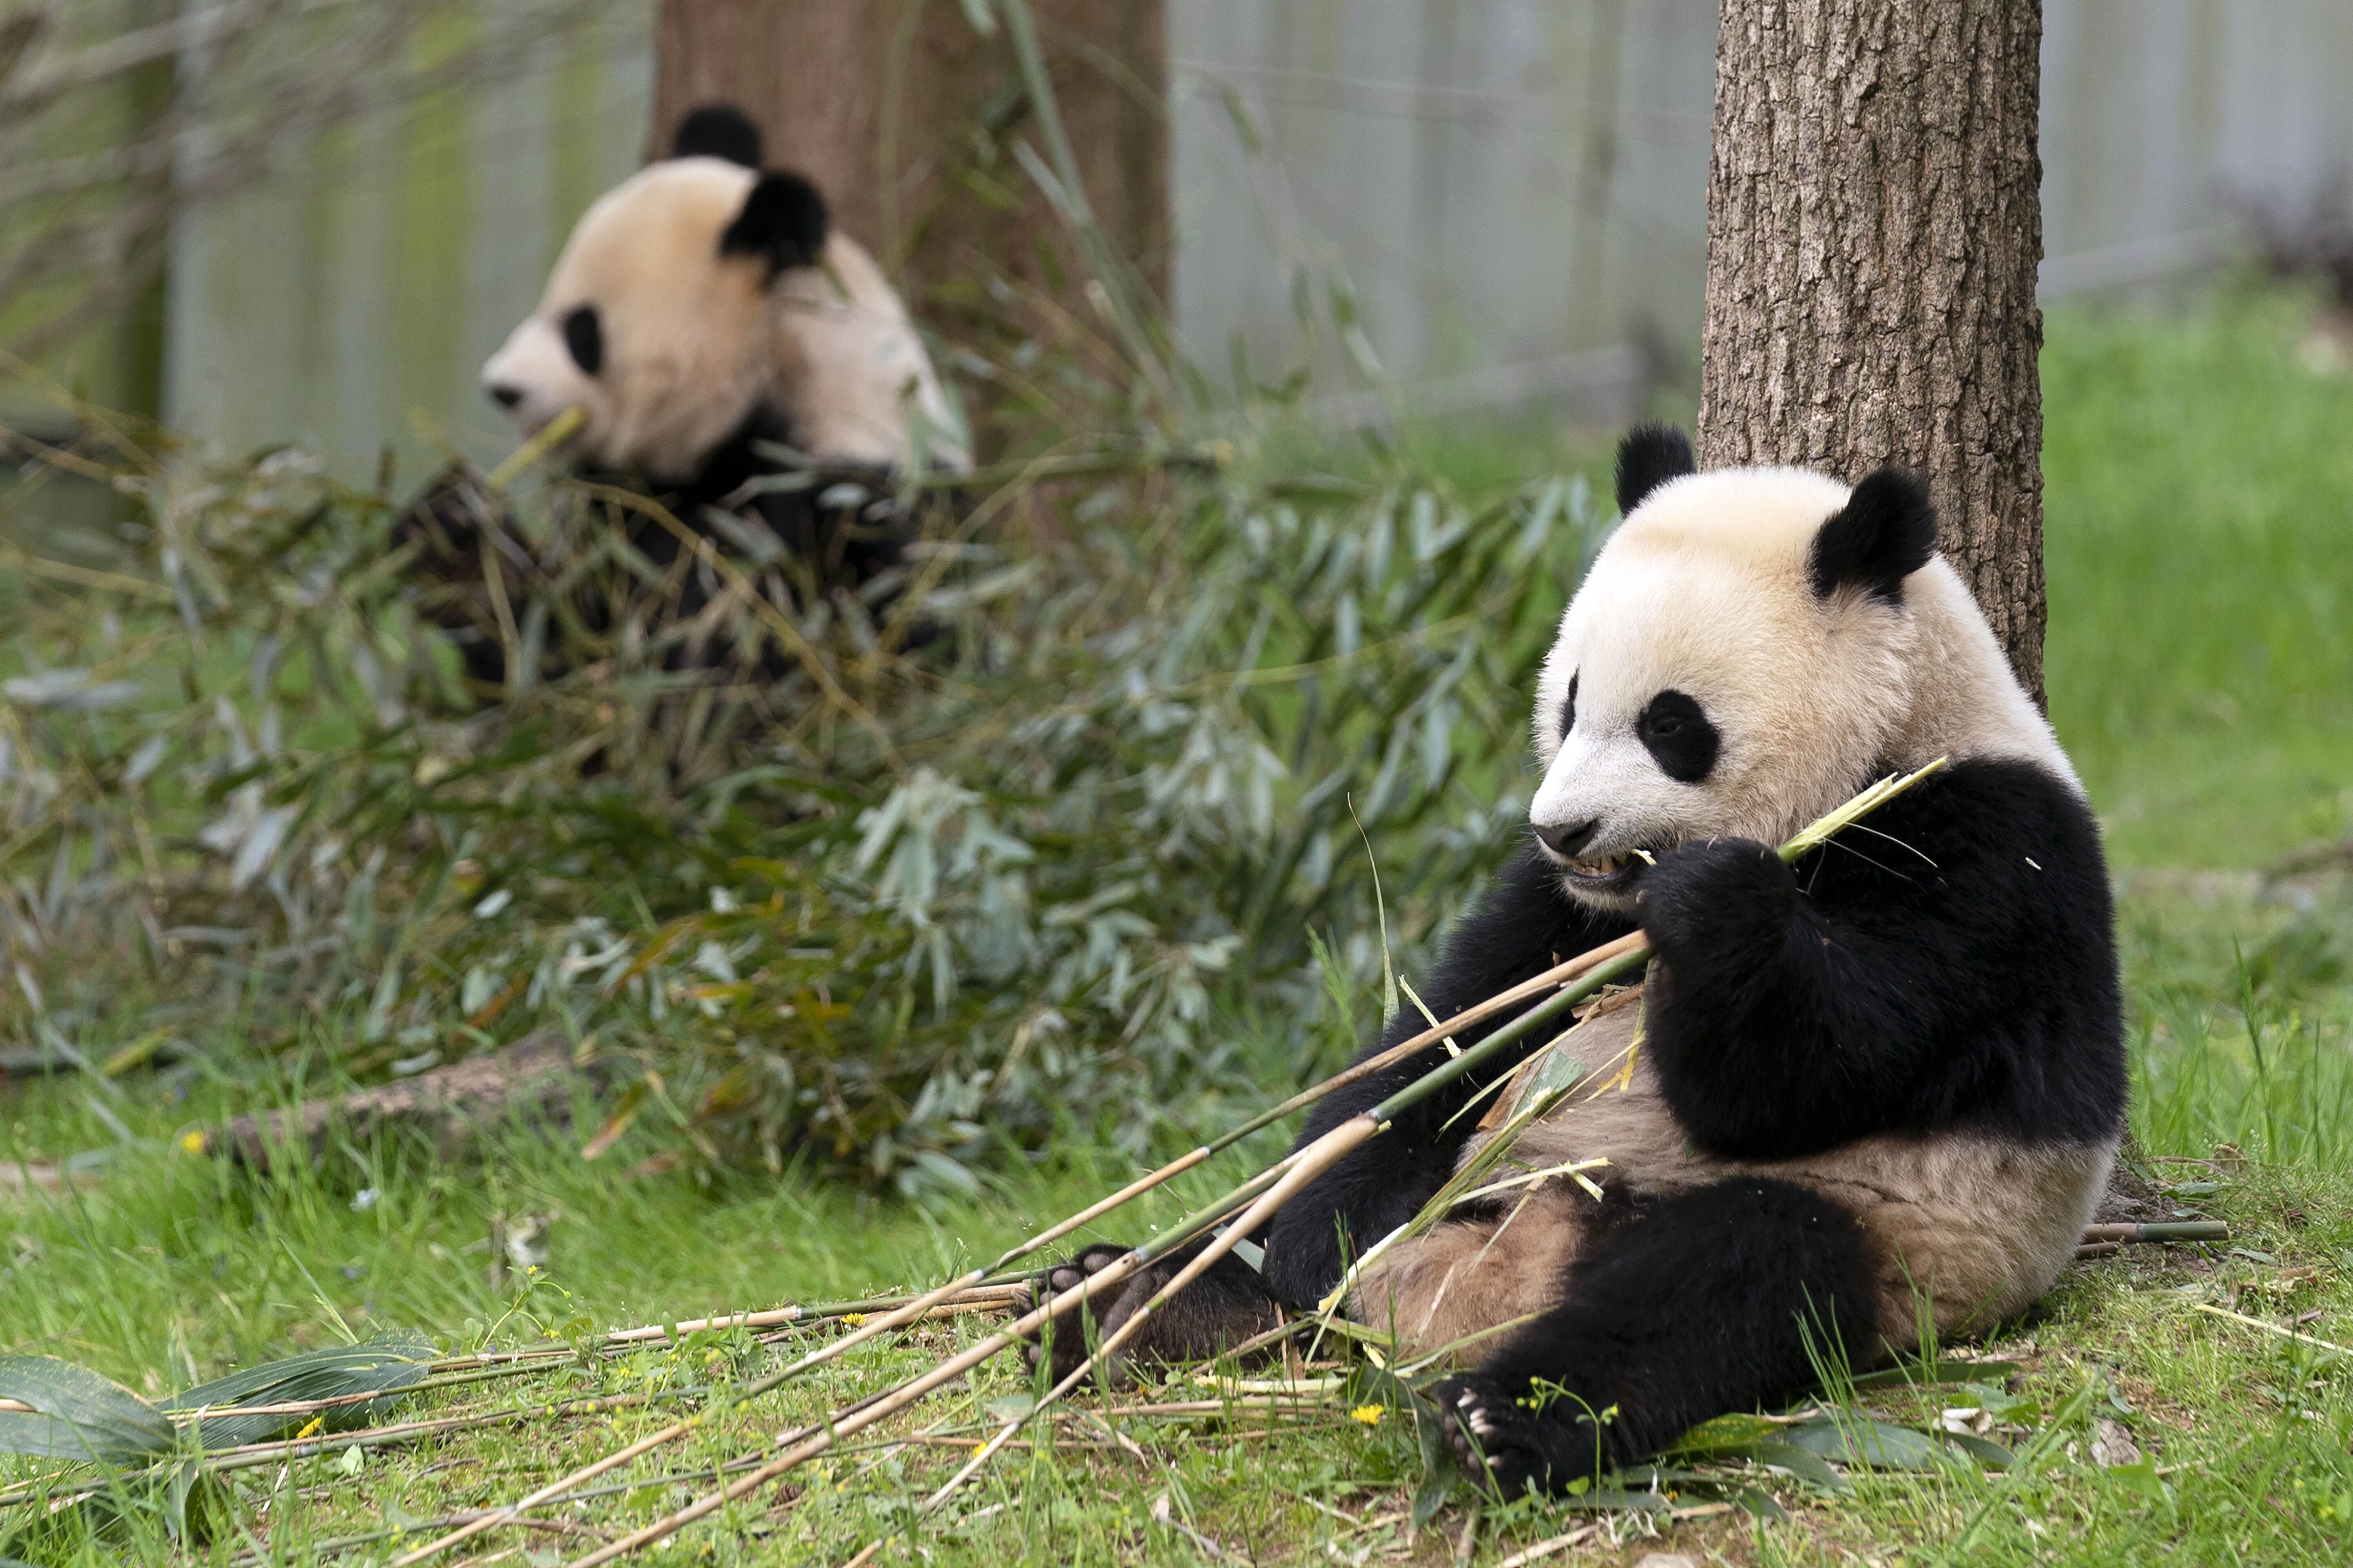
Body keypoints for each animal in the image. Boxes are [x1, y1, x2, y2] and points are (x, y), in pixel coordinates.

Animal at [405, 98, 965, 683]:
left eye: (584, 331)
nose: (503, 387)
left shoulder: (840, 501)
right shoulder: (625, 508)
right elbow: (560, 642)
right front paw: (451, 534)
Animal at [1021, 423, 2127, 1488]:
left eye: (1671, 723)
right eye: (1569, 701)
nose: (1562, 828)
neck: (1885, 746)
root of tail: (1472, 1290)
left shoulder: (1991, 857)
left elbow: (1815, 1071)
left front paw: (1715, 906)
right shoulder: (1560, 915)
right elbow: (1440, 1045)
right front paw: (1317, 1230)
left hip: (1887, 1229)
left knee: (1720, 1281)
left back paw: (1498, 1418)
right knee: (1306, 1275)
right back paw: (1126, 1301)